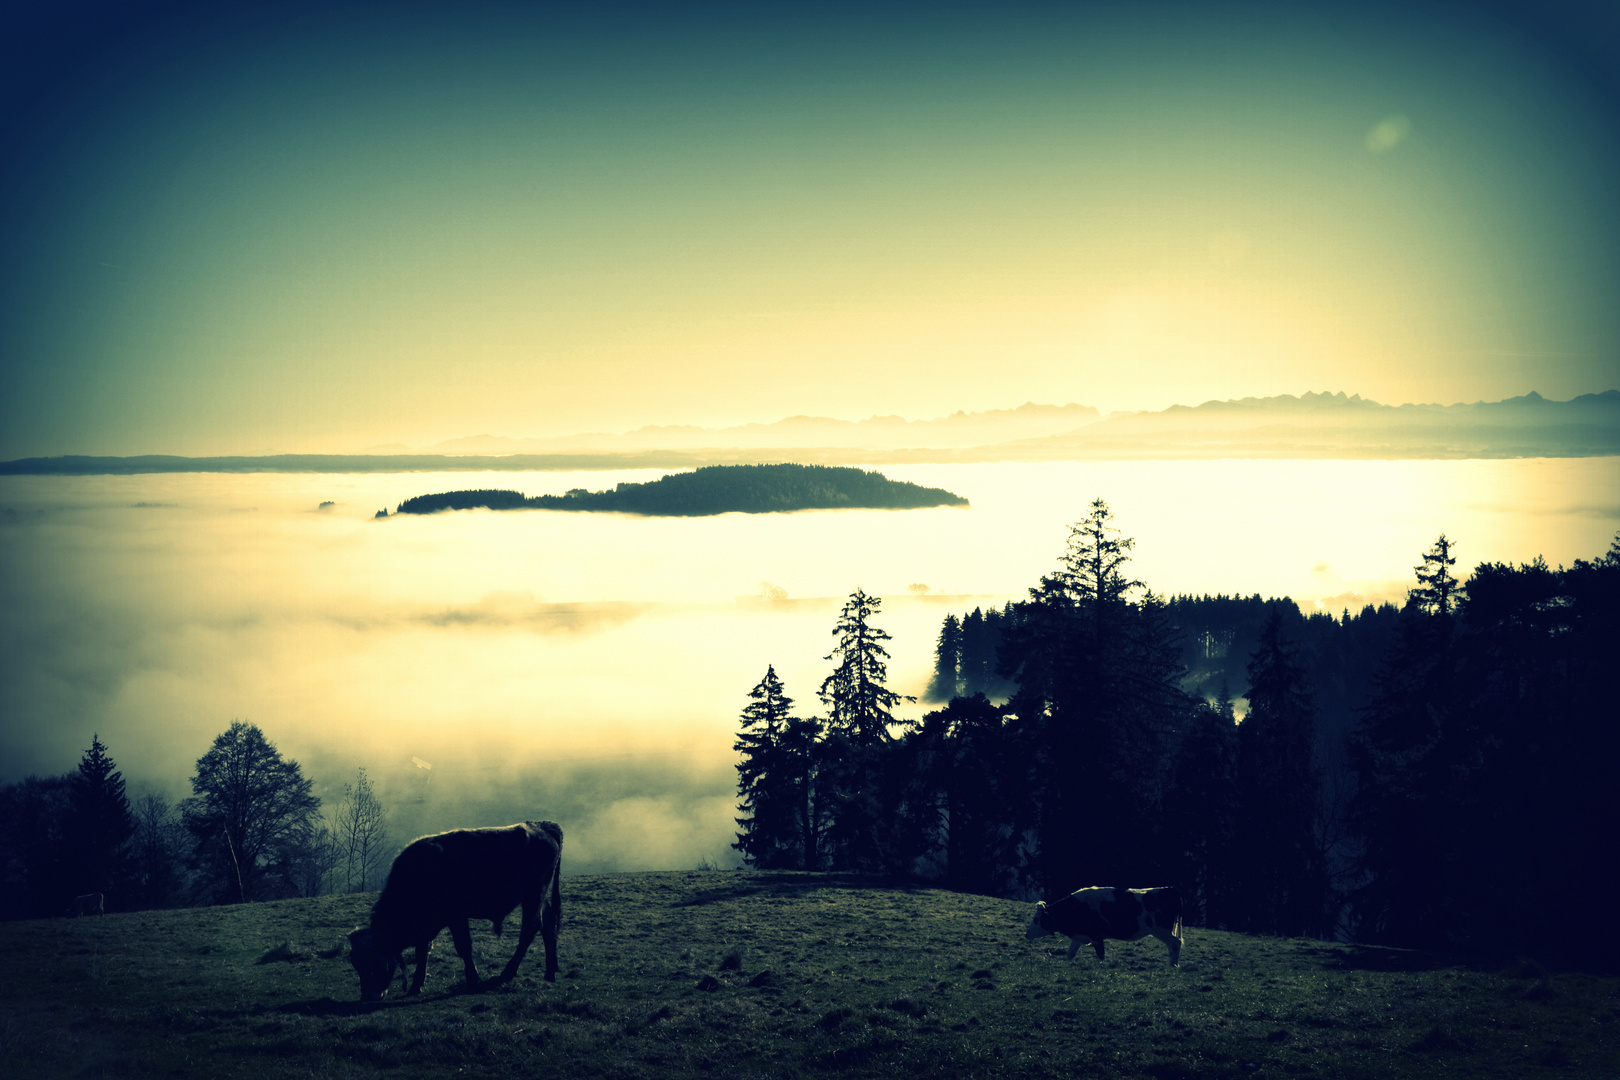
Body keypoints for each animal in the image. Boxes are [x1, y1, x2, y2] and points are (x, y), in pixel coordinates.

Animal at [348, 819, 563, 1003]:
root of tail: (540, 825)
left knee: (530, 929)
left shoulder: (456, 916)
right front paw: (416, 985)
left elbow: (463, 947)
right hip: (539, 896)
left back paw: (507, 973)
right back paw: (551, 970)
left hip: (533, 894)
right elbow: (422, 951)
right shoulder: (427, 926)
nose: (367, 997)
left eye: (373, 963)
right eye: (356, 964)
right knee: (548, 922)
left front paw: (473, 980)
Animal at [1030, 880, 1185, 965]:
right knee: (1173, 945)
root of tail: (1171, 889)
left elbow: (1101, 955)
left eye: (1036, 919)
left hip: (1161, 930)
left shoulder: (1096, 936)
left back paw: (1173, 966)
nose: (1027, 934)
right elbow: (1070, 953)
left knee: (1176, 943)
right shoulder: (1080, 935)